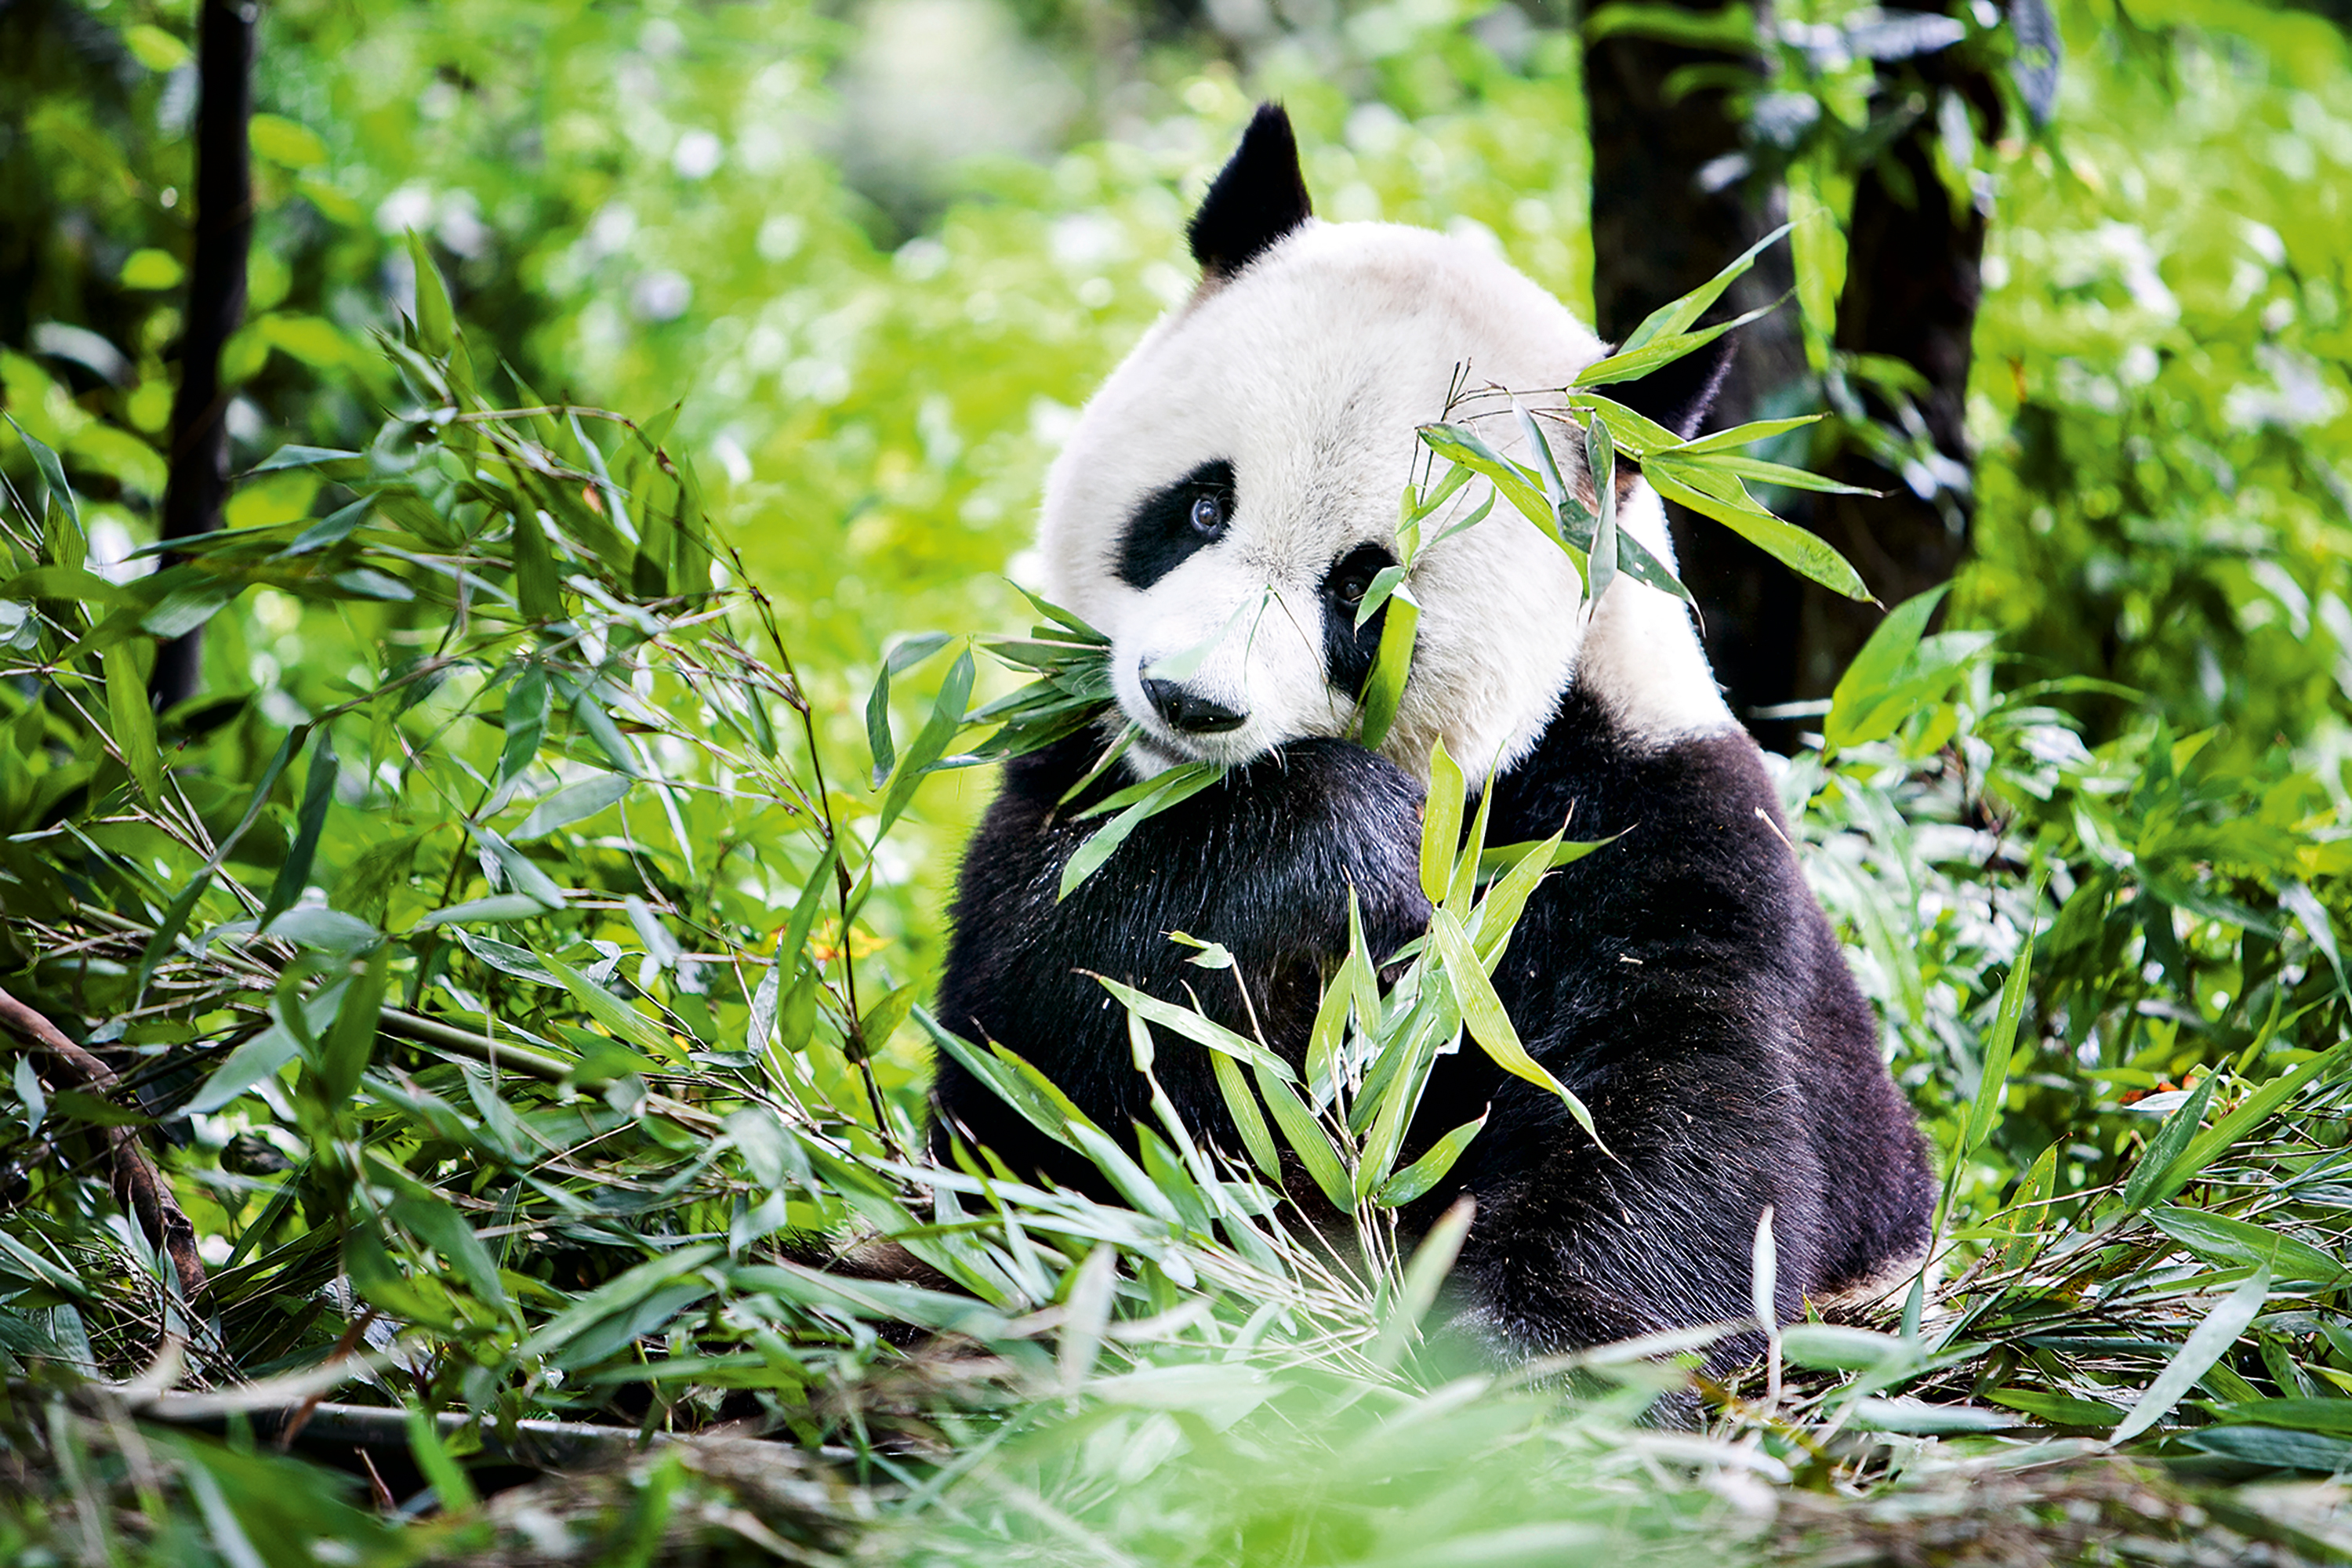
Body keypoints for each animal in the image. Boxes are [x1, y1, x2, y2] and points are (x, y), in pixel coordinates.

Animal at [932, 104, 1934, 1369]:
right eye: (1201, 507)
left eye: (1363, 591)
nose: (1189, 703)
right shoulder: (1077, 775)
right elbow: (1037, 1063)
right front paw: (1339, 849)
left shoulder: (1654, 829)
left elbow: (1677, 1115)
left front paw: (1524, 1366)